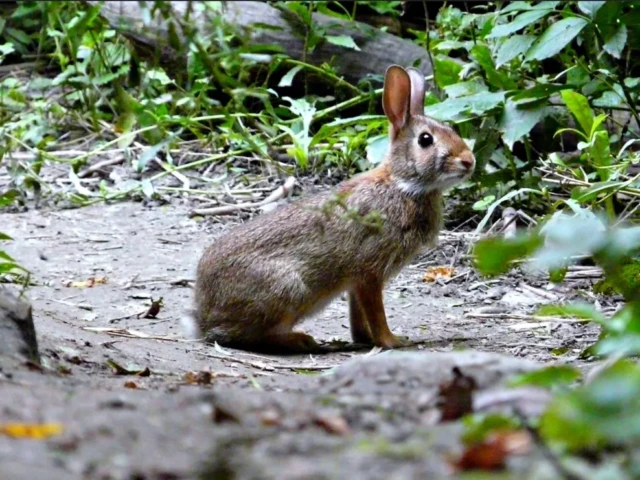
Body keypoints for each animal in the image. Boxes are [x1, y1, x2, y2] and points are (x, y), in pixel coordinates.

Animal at [193, 65, 475, 353]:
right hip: (289, 288)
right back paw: (300, 340)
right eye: (426, 140)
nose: (469, 161)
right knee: (235, 335)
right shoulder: (369, 271)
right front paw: (392, 341)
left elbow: (358, 313)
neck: (401, 184)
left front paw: (365, 339)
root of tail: (203, 313)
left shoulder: (358, 283)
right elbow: (376, 312)